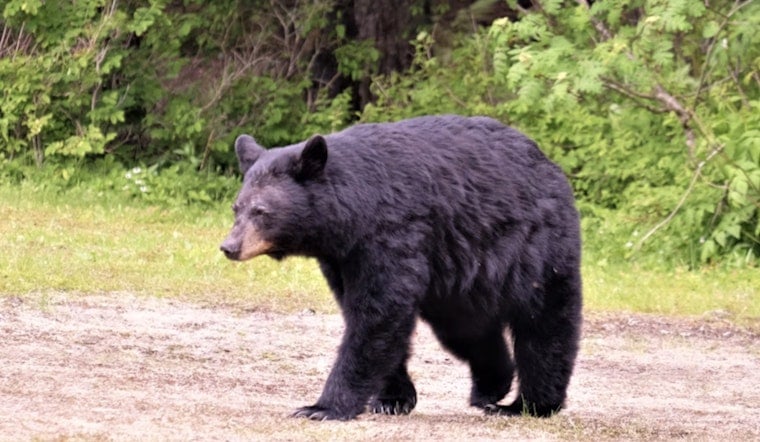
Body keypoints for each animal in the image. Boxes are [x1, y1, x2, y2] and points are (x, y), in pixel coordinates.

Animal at [220, 115, 582, 421]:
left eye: (261, 211)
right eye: (237, 207)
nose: (229, 247)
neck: (354, 214)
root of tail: (550, 165)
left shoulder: (392, 233)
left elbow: (379, 313)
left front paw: (322, 407)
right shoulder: (343, 258)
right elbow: (366, 313)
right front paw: (393, 399)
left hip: (535, 248)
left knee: (544, 323)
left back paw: (530, 404)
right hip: (459, 281)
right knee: (468, 330)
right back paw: (490, 387)